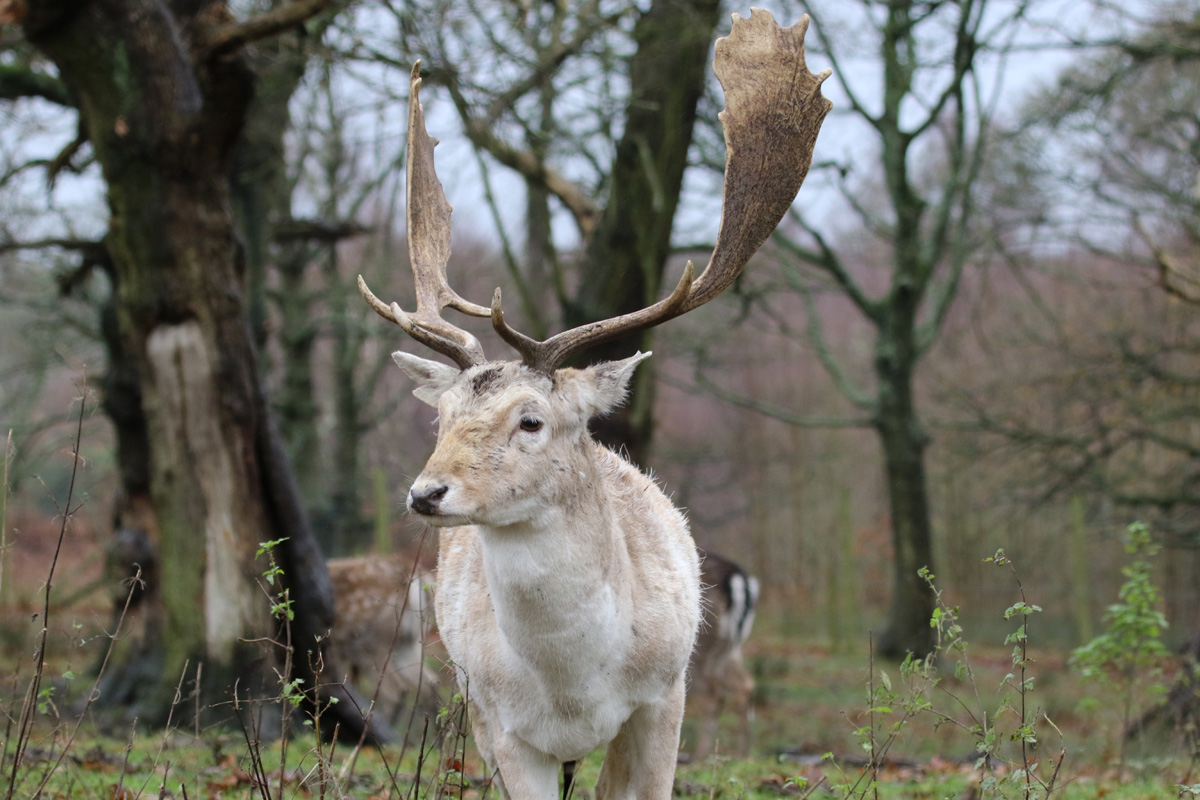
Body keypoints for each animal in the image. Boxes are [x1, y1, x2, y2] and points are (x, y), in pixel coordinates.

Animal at [687, 548, 761, 761]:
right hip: (730, 648)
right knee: (745, 683)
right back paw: (744, 754)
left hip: (700, 645)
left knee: (712, 694)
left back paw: (699, 756)